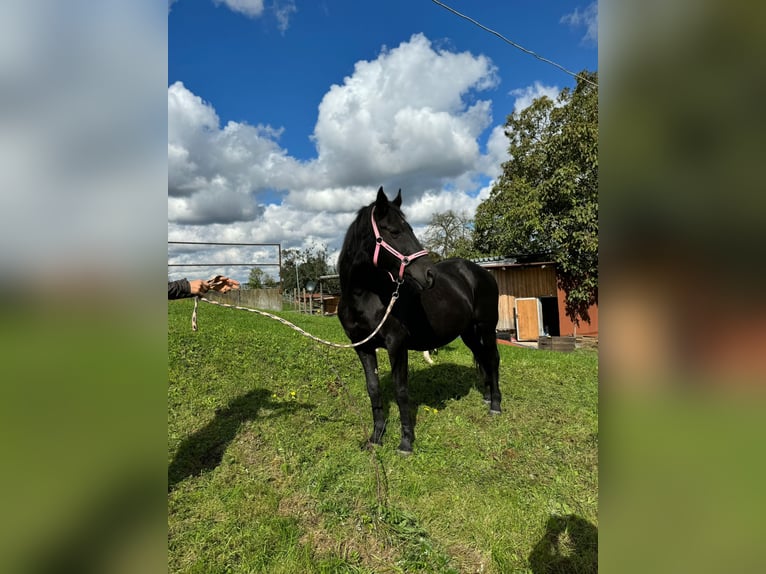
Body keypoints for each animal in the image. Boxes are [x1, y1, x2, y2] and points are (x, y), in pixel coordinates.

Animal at [340, 188, 500, 454]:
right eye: (394, 231)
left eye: (411, 228)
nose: (429, 275)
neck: (366, 297)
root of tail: (481, 272)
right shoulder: (363, 347)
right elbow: (373, 389)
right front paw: (376, 438)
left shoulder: (397, 345)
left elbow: (401, 390)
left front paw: (406, 442)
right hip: (468, 332)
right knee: (484, 358)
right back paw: (487, 397)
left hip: (487, 328)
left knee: (493, 360)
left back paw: (496, 404)